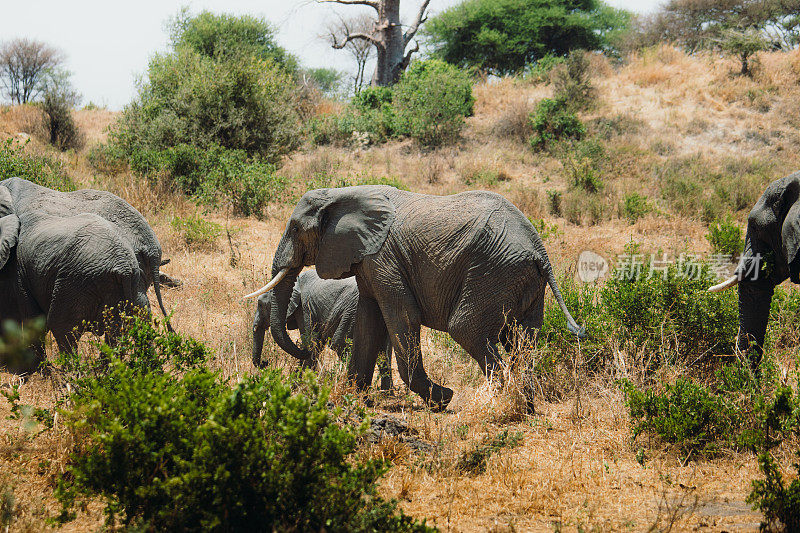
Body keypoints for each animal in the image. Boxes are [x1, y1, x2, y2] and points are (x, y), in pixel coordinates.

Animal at [0, 209, 148, 374]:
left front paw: (35, 372)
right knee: (123, 327)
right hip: (128, 283)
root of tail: (124, 267)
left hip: (76, 280)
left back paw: (70, 375)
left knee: (60, 326)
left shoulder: (19, 273)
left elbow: (33, 322)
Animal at [253, 268, 394, 388]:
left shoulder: (305, 308)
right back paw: (387, 394)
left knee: (340, 344)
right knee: (384, 353)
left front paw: (295, 387)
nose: (265, 363)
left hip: (353, 311)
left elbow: (312, 342)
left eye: (260, 304)